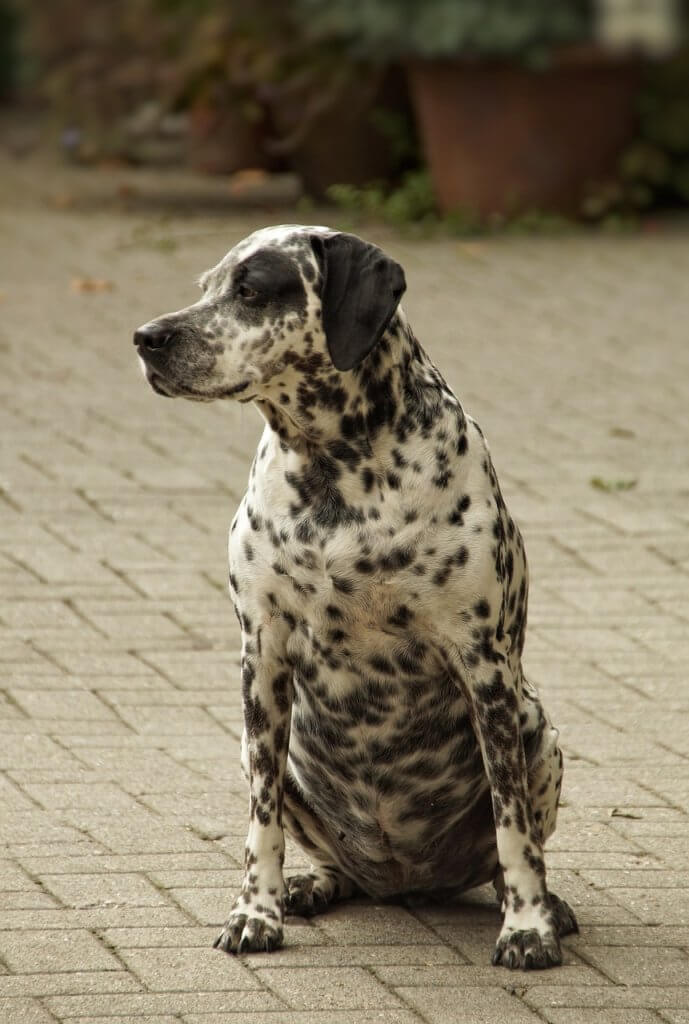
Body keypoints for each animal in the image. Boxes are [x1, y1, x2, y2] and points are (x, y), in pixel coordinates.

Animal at [133, 224, 573, 966]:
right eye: (205, 286)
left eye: (251, 290)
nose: (147, 337)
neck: (334, 470)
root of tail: (403, 883)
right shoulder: (262, 657)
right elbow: (261, 827)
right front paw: (256, 912)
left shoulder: (483, 665)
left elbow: (512, 827)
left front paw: (527, 927)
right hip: (261, 748)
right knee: (322, 853)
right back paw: (311, 883)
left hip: (535, 727)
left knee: (508, 850)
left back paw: (545, 904)